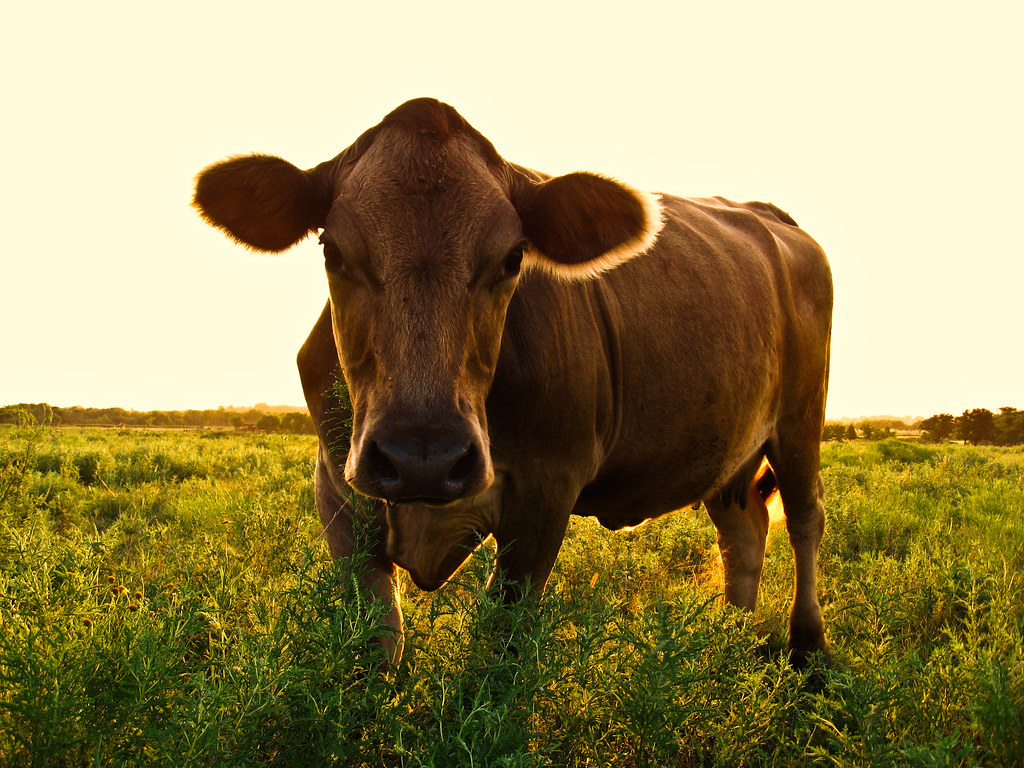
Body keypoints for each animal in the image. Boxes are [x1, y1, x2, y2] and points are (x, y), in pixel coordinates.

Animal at [193, 98, 832, 668]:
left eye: (512, 257)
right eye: (332, 250)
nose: (422, 458)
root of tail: (775, 218)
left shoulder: (547, 493)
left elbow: (499, 647)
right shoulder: (339, 490)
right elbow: (376, 644)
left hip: (802, 418)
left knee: (805, 519)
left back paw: (808, 649)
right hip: (729, 451)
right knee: (744, 528)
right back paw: (729, 641)